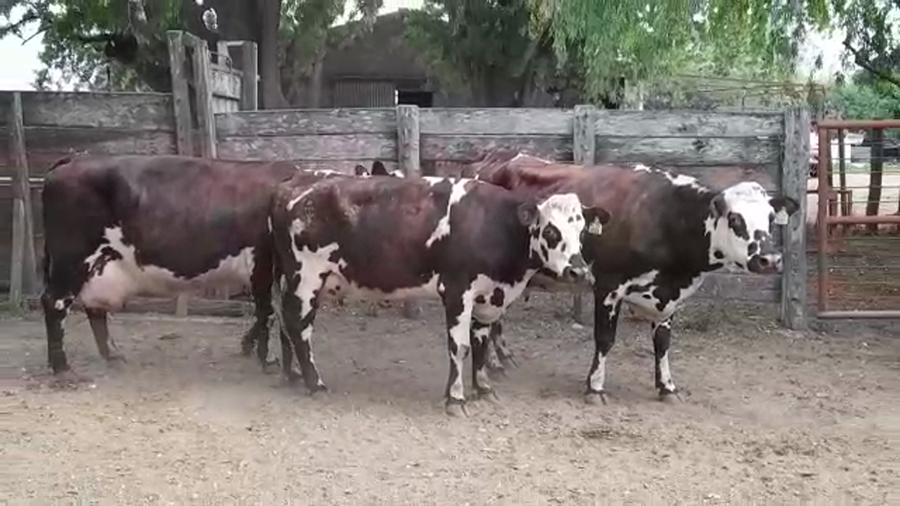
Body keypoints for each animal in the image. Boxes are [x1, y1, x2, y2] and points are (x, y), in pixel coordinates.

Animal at [39, 154, 395, 384]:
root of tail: (69, 163)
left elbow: (267, 313)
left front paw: (251, 348)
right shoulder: (264, 262)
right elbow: (267, 311)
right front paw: (263, 356)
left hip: (97, 264)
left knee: (94, 309)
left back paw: (111, 355)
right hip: (71, 258)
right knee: (54, 303)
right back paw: (62, 367)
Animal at [268, 174, 610, 416]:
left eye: (582, 231)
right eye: (550, 230)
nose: (579, 271)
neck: (494, 225)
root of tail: (295, 183)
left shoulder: (487, 298)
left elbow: (480, 343)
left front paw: (483, 388)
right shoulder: (458, 291)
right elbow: (459, 347)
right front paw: (455, 398)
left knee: (286, 322)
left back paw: (294, 374)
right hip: (306, 278)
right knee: (299, 326)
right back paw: (315, 383)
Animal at [463, 152, 800, 405]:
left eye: (772, 218)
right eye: (735, 219)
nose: (770, 259)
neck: (664, 214)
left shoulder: (667, 298)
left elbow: (662, 343)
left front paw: (667, 387)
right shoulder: (609, 287)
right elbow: (605, 339)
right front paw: (595, 387)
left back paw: (501, 359)